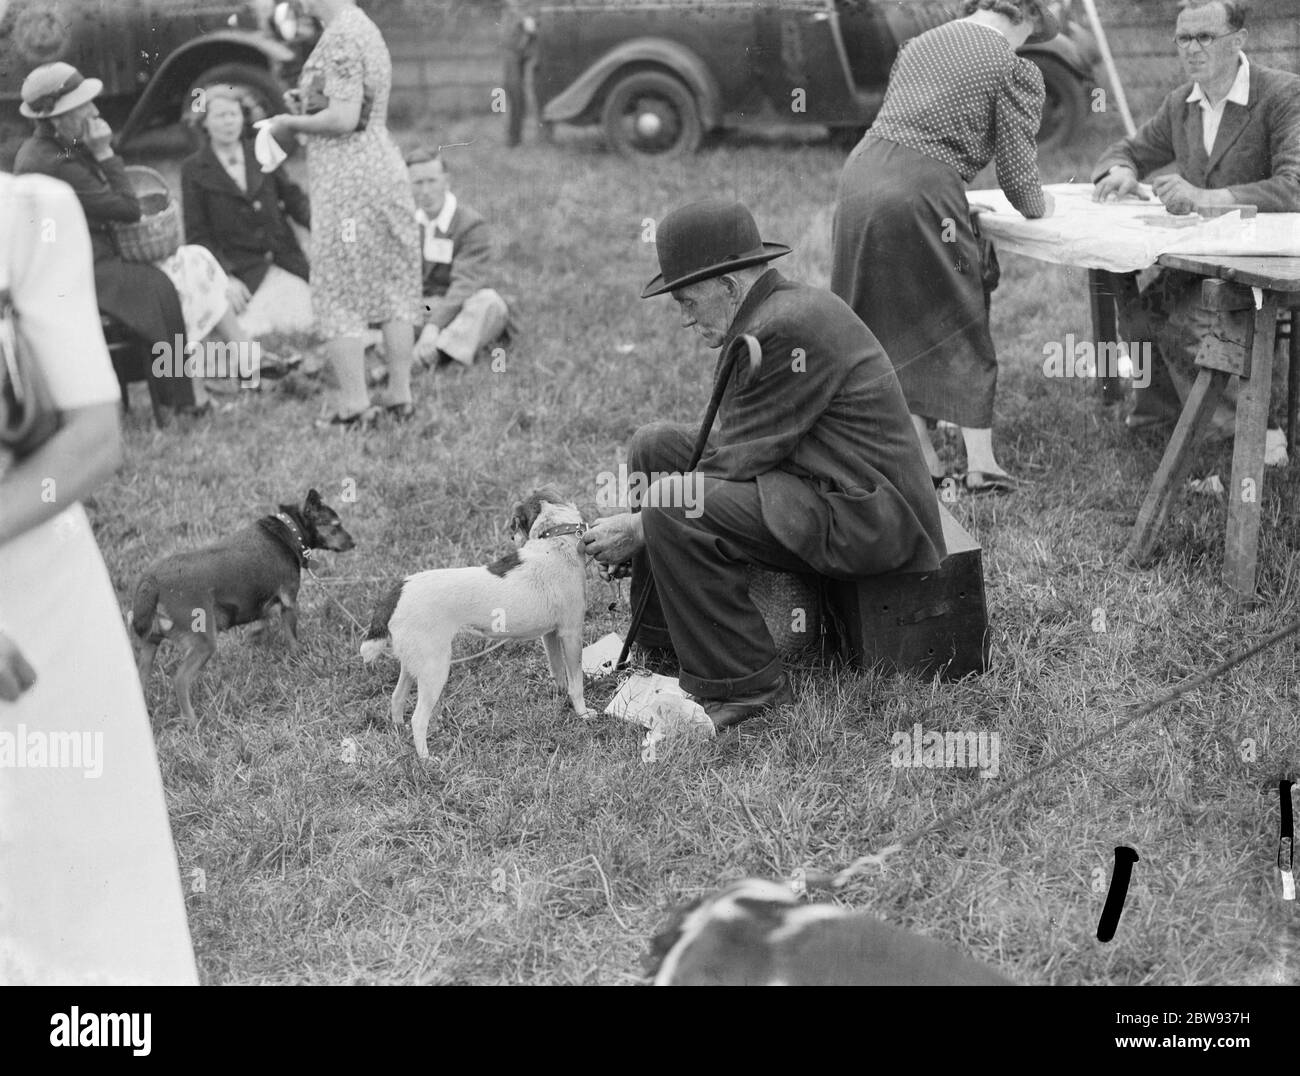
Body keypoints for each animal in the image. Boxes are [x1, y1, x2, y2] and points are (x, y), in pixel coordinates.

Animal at [132, 491, 356, 727]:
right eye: (336, 525)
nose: (354, 542)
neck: (288, 531)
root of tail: (151, 582)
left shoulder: (262, 604)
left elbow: (261, 621)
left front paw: (253, 637)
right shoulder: (289, 603)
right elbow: (292, 637)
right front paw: (299, 657)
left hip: (150, 645)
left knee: (142, 678)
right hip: (203, 642)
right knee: (180, 680)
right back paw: (193, 721)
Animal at [364, 488, 592, 758]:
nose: (511, 536)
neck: (555, 540)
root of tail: (400, 589)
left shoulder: (550, 635)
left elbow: (558, 673)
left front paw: (560, 700)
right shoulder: (571, 633)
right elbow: (576, 684)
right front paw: (583, 714)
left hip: (413, 664)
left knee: (396, 699)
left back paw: (400, 734)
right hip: (435, 669)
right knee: (418, 719)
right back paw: (427, 759)